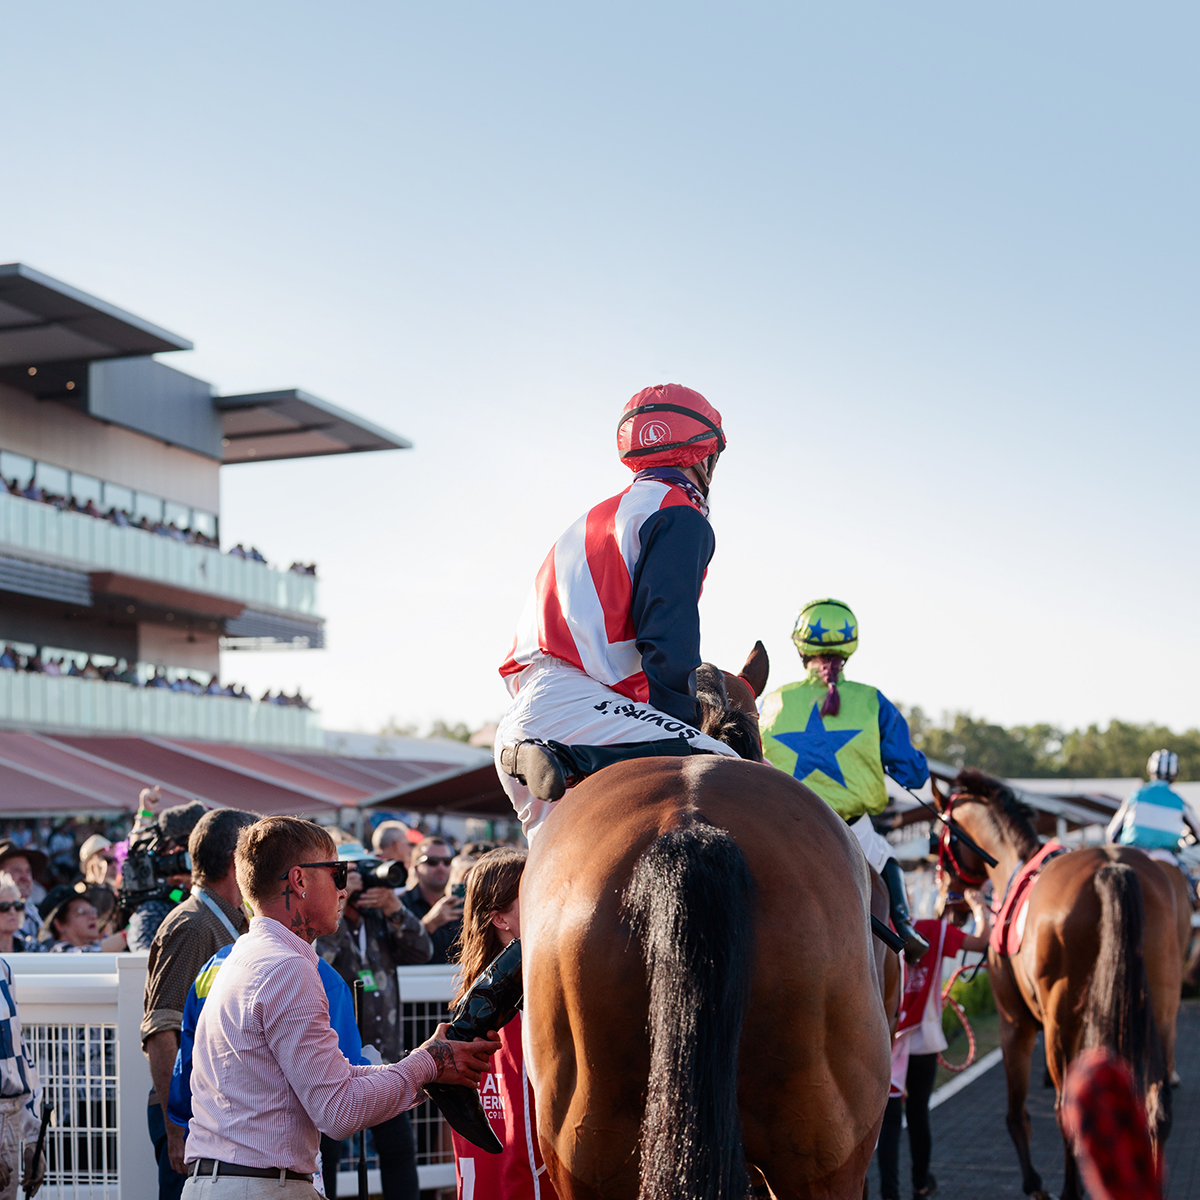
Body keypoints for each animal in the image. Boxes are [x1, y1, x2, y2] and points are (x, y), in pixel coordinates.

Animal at [926, 768, 1180, 1200]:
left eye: (939, 840)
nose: (946, 904)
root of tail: (1112, 868)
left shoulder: (1016, 1023)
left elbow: (1016, 1112)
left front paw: (1033, 1183)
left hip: (1062, 1024)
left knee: (1066, 1108)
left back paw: (1069, 1189)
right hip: (1159, 1011)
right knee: (1156, 1105)